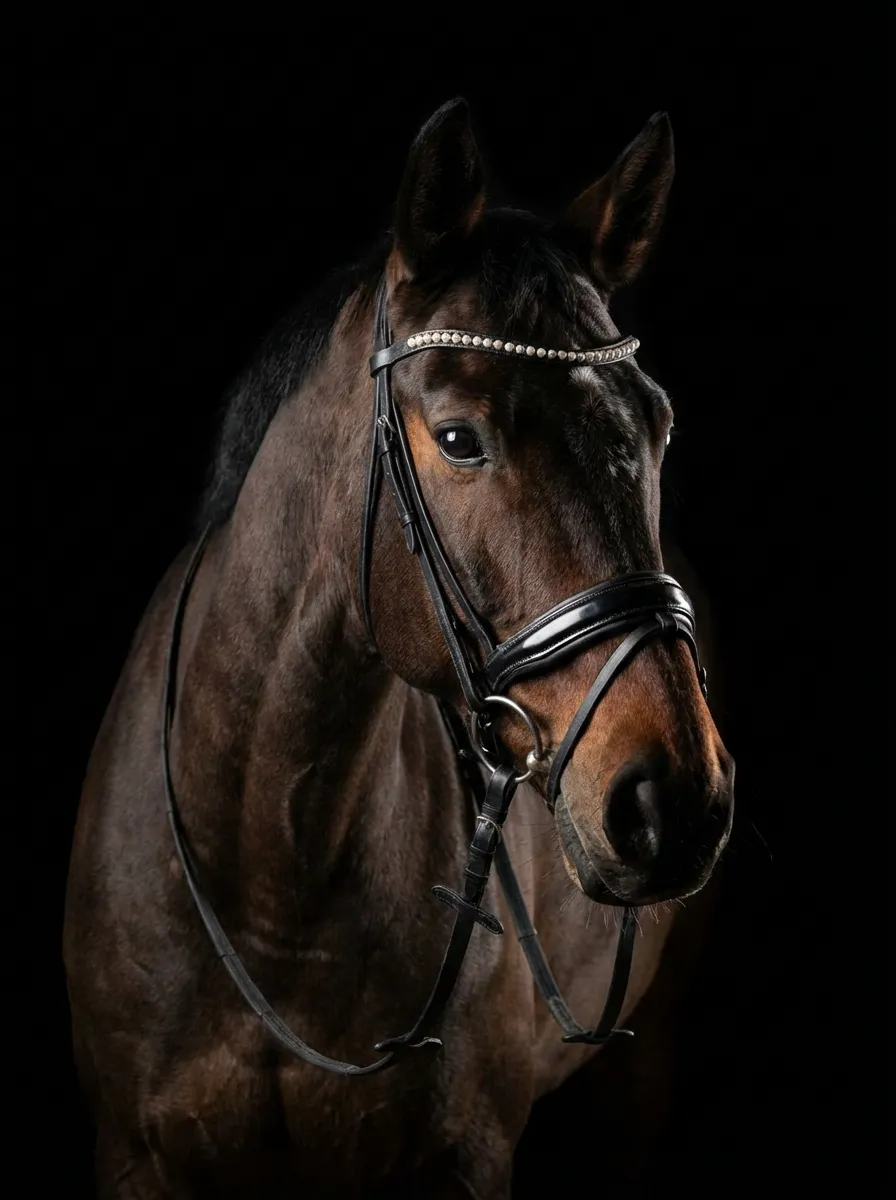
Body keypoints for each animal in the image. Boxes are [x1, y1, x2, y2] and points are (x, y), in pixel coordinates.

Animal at [64, 98, 735, 1199]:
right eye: (458, 438)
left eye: (658, 425)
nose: (672, 800)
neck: (272, 873)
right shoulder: (132, 1156)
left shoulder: (467, 1158)